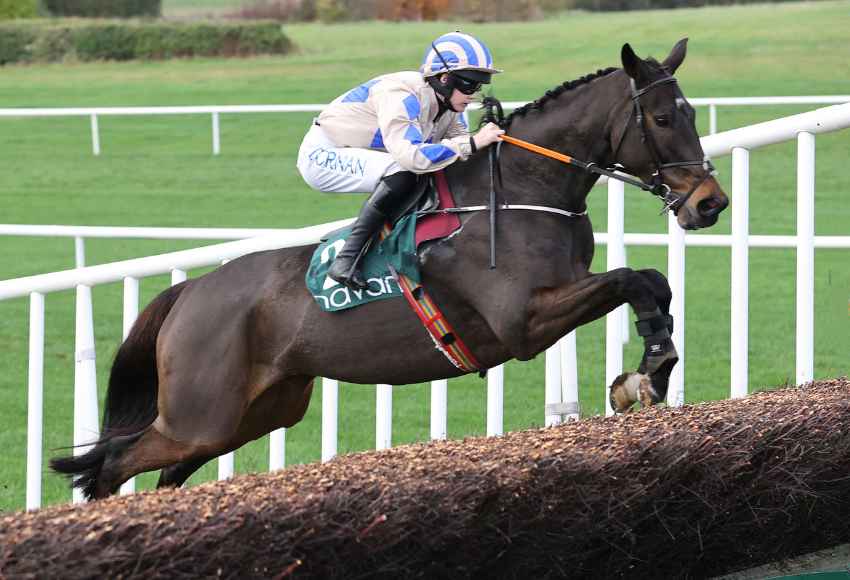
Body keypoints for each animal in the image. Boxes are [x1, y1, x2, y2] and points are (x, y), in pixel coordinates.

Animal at [53, 39, 728, 498]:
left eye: (695, 114)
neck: (519, 189)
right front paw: (646, 371)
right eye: (662, 119)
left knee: (165, 472)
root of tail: (192, 290)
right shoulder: (522, 321)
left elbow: (654, 282)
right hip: (201, 413)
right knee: (112, 463)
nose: (709, 203)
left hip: (252, 413)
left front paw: (651, 367)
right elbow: (632, 278)